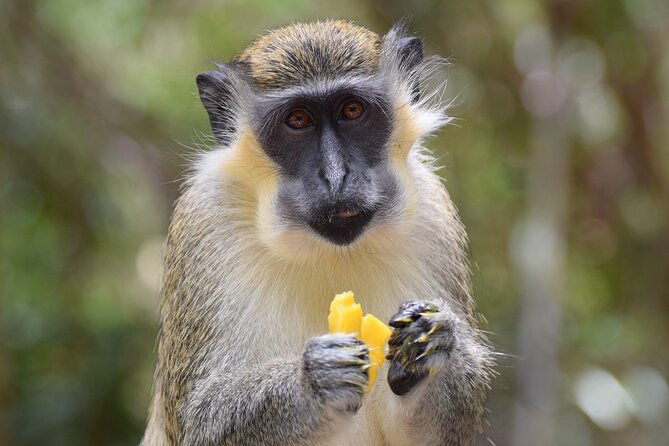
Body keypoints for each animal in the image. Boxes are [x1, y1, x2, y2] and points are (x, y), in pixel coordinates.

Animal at [141, 20, 493, 446]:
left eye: (352, 110)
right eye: (297, 120)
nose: (336, 176)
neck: (324, 249)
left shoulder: (431, 213)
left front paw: (435, 340)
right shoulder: (204, 223)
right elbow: (200, 422)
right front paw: (314, 380)